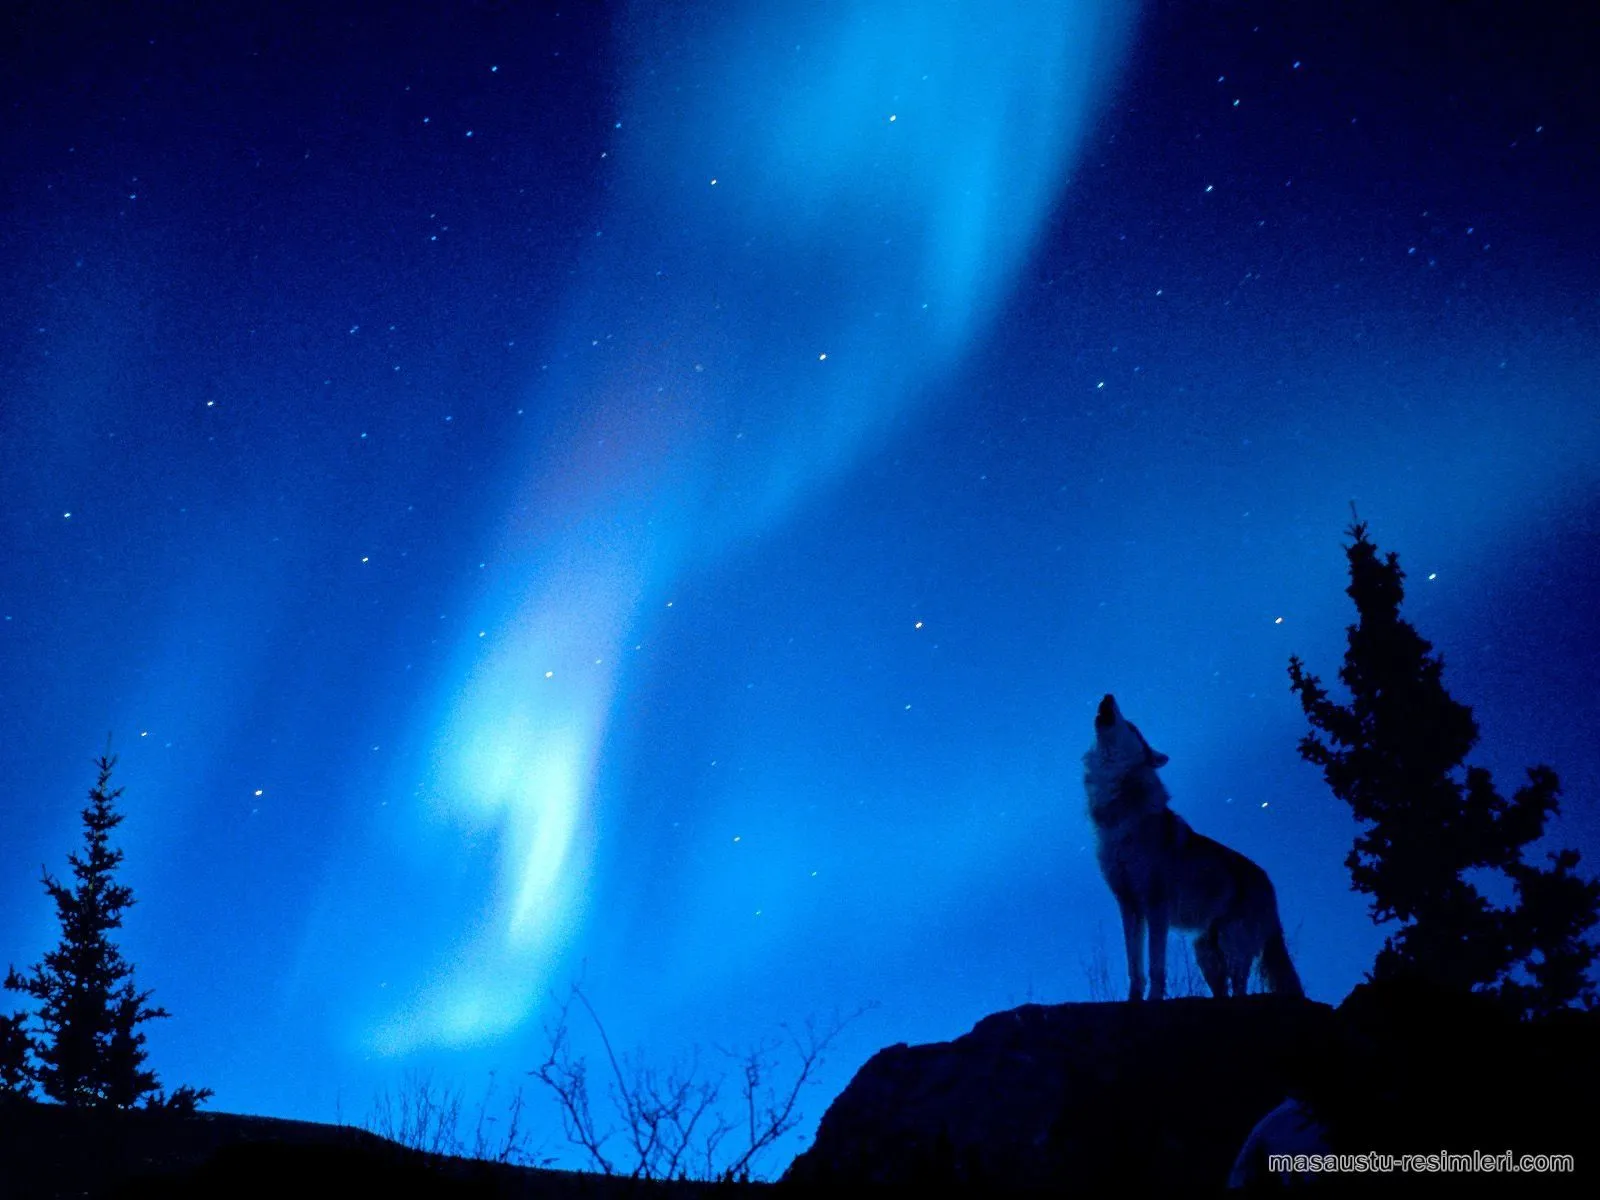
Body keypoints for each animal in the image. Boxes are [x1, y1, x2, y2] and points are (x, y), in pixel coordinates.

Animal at [1088, 694, 1299, 1004]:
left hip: (1232, 943)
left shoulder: (1156, 907)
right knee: (1223, 989)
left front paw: (1154, 1000)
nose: (1108, 696)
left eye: (1131, 726)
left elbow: (1156, 966)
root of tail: (1268, 882)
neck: (1120, 812)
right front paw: (1134, 1000)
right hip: (1206, 955)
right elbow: (1134, 967)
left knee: (1240, 986)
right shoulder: (1129, 906)